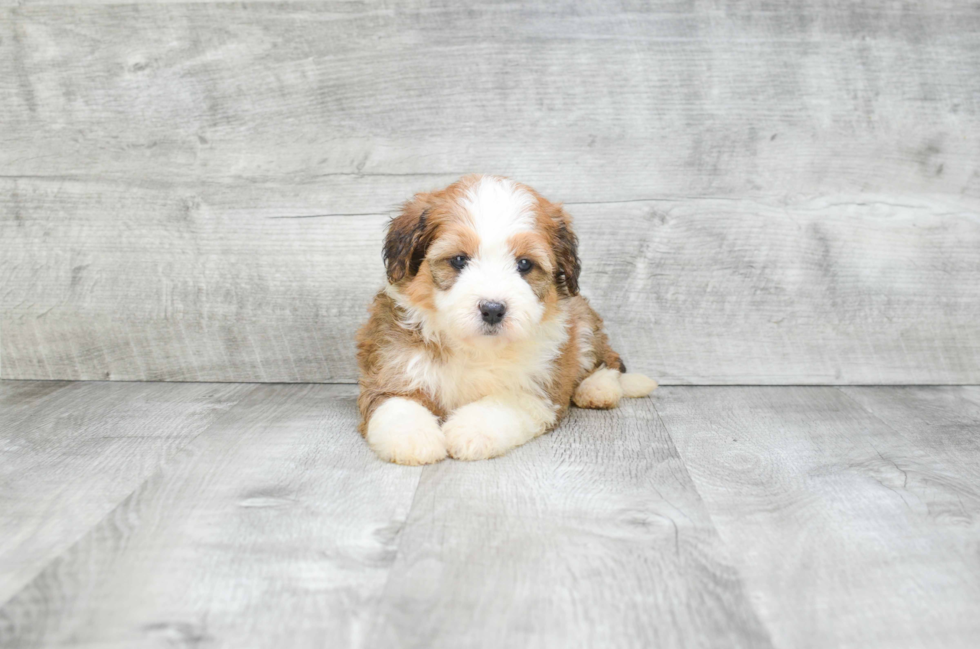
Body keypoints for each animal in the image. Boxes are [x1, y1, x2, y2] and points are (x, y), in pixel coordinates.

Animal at [356, 175, 656, 464]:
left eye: (524, 264)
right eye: (459, 260)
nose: (492, 309)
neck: (474, 348)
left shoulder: (540, 387)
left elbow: (503, 404)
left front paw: (470, 430)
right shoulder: (392, 368)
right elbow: (396, 403)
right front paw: (413, 438)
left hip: (582, 321)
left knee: (609, 359)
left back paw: (598, 389)